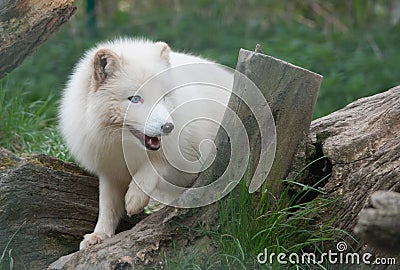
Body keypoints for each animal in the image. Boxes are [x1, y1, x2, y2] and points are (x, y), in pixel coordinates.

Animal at [61, 37, 233, 249]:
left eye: (164, 97)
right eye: (135, 99)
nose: (168, 127)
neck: (124, 148)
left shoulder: (184, 156)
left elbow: (153, 167)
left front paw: (135, 198)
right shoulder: (109, 171)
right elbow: (107, 205)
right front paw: (99, 235)